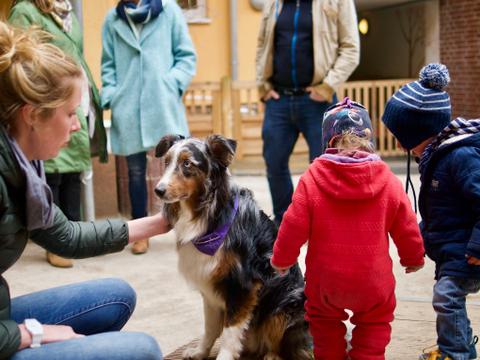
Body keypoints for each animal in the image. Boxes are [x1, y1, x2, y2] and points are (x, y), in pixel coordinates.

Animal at [154, 134, 312, 358]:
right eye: (166, 162)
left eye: (187, 164)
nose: (158, 190)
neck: (211, 218)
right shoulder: (209, 287)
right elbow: (211, 328)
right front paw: (200, 352)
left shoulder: (242, 287)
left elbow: (229, 333)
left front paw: (223, 356)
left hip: (286, 306)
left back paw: (272, 355)